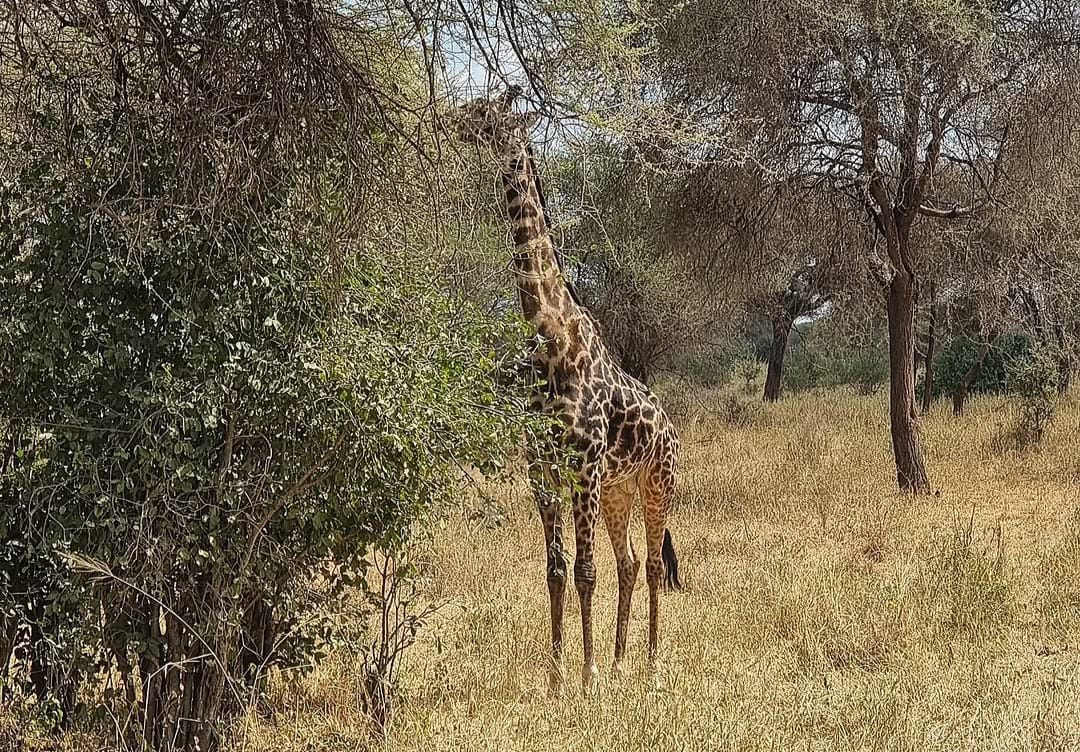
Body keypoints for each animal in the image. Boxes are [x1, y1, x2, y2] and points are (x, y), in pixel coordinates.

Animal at [449, 86, 682, 691]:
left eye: (488, 109)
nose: (450, 117)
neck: (548, 332)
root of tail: (671, 425)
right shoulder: (543, 468)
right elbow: (555, 571)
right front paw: (558, 678)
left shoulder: (585, 466)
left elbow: (584, 571)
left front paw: (588, 675)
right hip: (619, 490)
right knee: (628, 563)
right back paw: (623, 660)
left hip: (656, 482)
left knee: (651, 564)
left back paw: (649, 663)